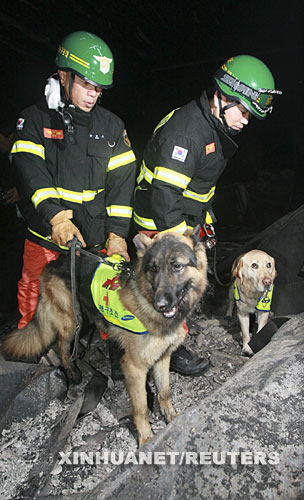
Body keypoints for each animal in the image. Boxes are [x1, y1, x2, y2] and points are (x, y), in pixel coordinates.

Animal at [1, 228, 208, 446]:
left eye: (177, 266)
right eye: (153, 269)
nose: (160, 305)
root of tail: (55, 262)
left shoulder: (162, 357)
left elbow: (164, 393)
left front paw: (172, 418)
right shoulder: (134, 368)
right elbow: (141, 409)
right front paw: (146, 439)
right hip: (73, 321)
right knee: (62, 345)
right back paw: (72, 373)